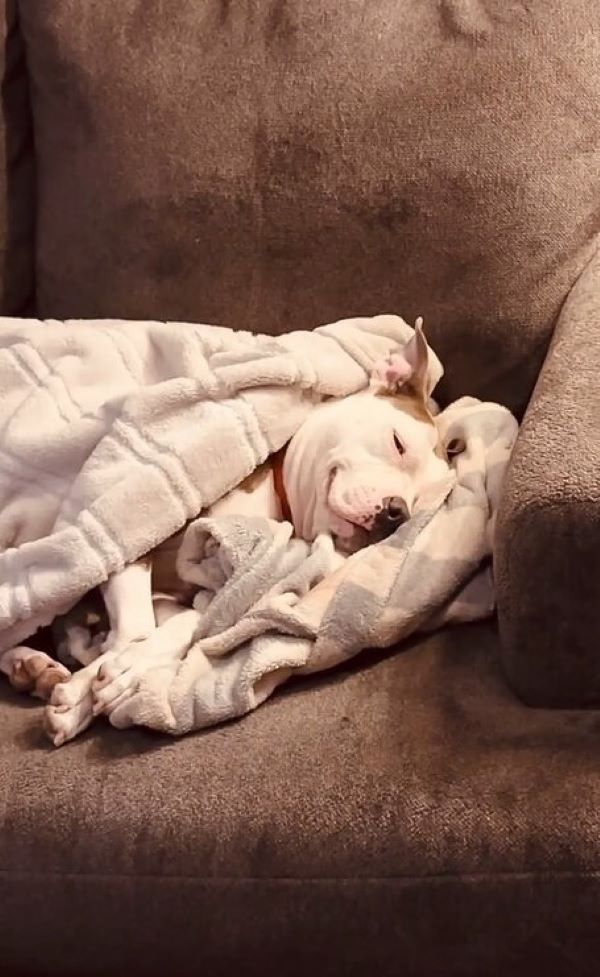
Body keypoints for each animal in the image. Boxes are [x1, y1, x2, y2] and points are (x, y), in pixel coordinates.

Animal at [0, 320, 454, 740]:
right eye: (398, 443)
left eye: (417, 507)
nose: (396, 512)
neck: (276, 491)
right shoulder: (130, 528)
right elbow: (136, 626)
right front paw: (101, 678)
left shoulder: (194, 583)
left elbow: (189, 619)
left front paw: (115, 676)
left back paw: (37, 664)